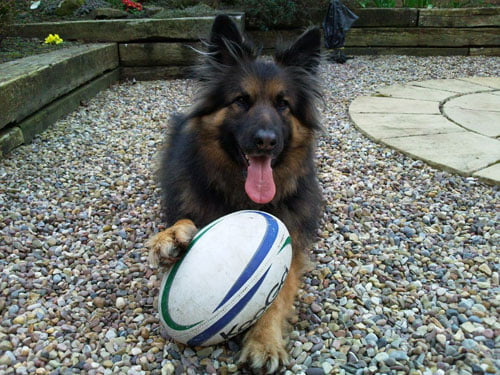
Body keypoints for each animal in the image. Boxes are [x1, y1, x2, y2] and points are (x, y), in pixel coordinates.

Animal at [146, 13, 322, 374]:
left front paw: (264, 341)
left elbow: (276, 294)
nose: (266, 141)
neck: (242, 196)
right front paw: (169, 238)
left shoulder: (292, 242)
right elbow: (183, 218)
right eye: (242, 100)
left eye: (283, 105)